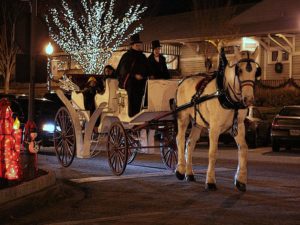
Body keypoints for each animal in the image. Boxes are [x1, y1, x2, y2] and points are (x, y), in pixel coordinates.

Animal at [176, 47, 260, 192]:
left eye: (255, 71)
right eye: (239, 70)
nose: (249, 100)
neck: (226, 94)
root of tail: (182, 80)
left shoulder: (239, 125)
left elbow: (243, 149)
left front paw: (240, 180)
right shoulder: (214, 128)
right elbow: (213, 153)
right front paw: (210, 181)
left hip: (198, 123)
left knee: (190, 143)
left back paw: (189, 173)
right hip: (183, 116)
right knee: (180, 139)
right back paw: (180, 170)